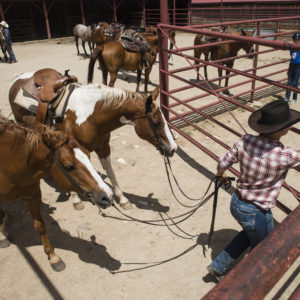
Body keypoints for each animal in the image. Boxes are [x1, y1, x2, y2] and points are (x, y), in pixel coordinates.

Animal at [0, 117, 112, 272]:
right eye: (69, 167)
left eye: (89, 155)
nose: (108, 195)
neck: (9, 164)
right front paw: (2, 238)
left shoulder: (32, 194)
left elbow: (40, 226)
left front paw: (53, 257)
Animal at [8, 71, 178, 211]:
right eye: (157, 122)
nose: (173, 148)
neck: (89, 115)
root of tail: (17, 80)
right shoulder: (70, 148)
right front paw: (76, 200)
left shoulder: (103, 147)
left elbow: (111, 172)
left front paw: (122, 199)